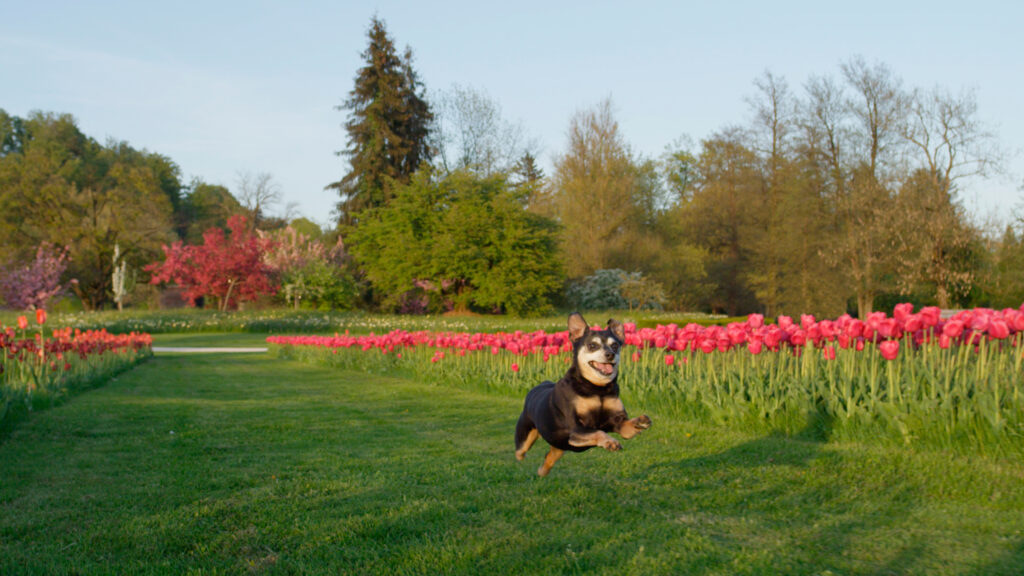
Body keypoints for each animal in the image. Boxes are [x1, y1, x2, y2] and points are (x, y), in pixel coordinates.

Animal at [516, 311, 651, 473]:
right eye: (592, 345)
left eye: (615, 345)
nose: (610, 354)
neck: (597, 388)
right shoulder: (576, 429)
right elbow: (598, 432)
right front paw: (610, 442)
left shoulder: (618, 424)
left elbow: (627, 425)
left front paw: (640, 421)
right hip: (524, 438)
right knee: (520, 453)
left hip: (560, 445)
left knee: (549, 457)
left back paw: (542, 471)